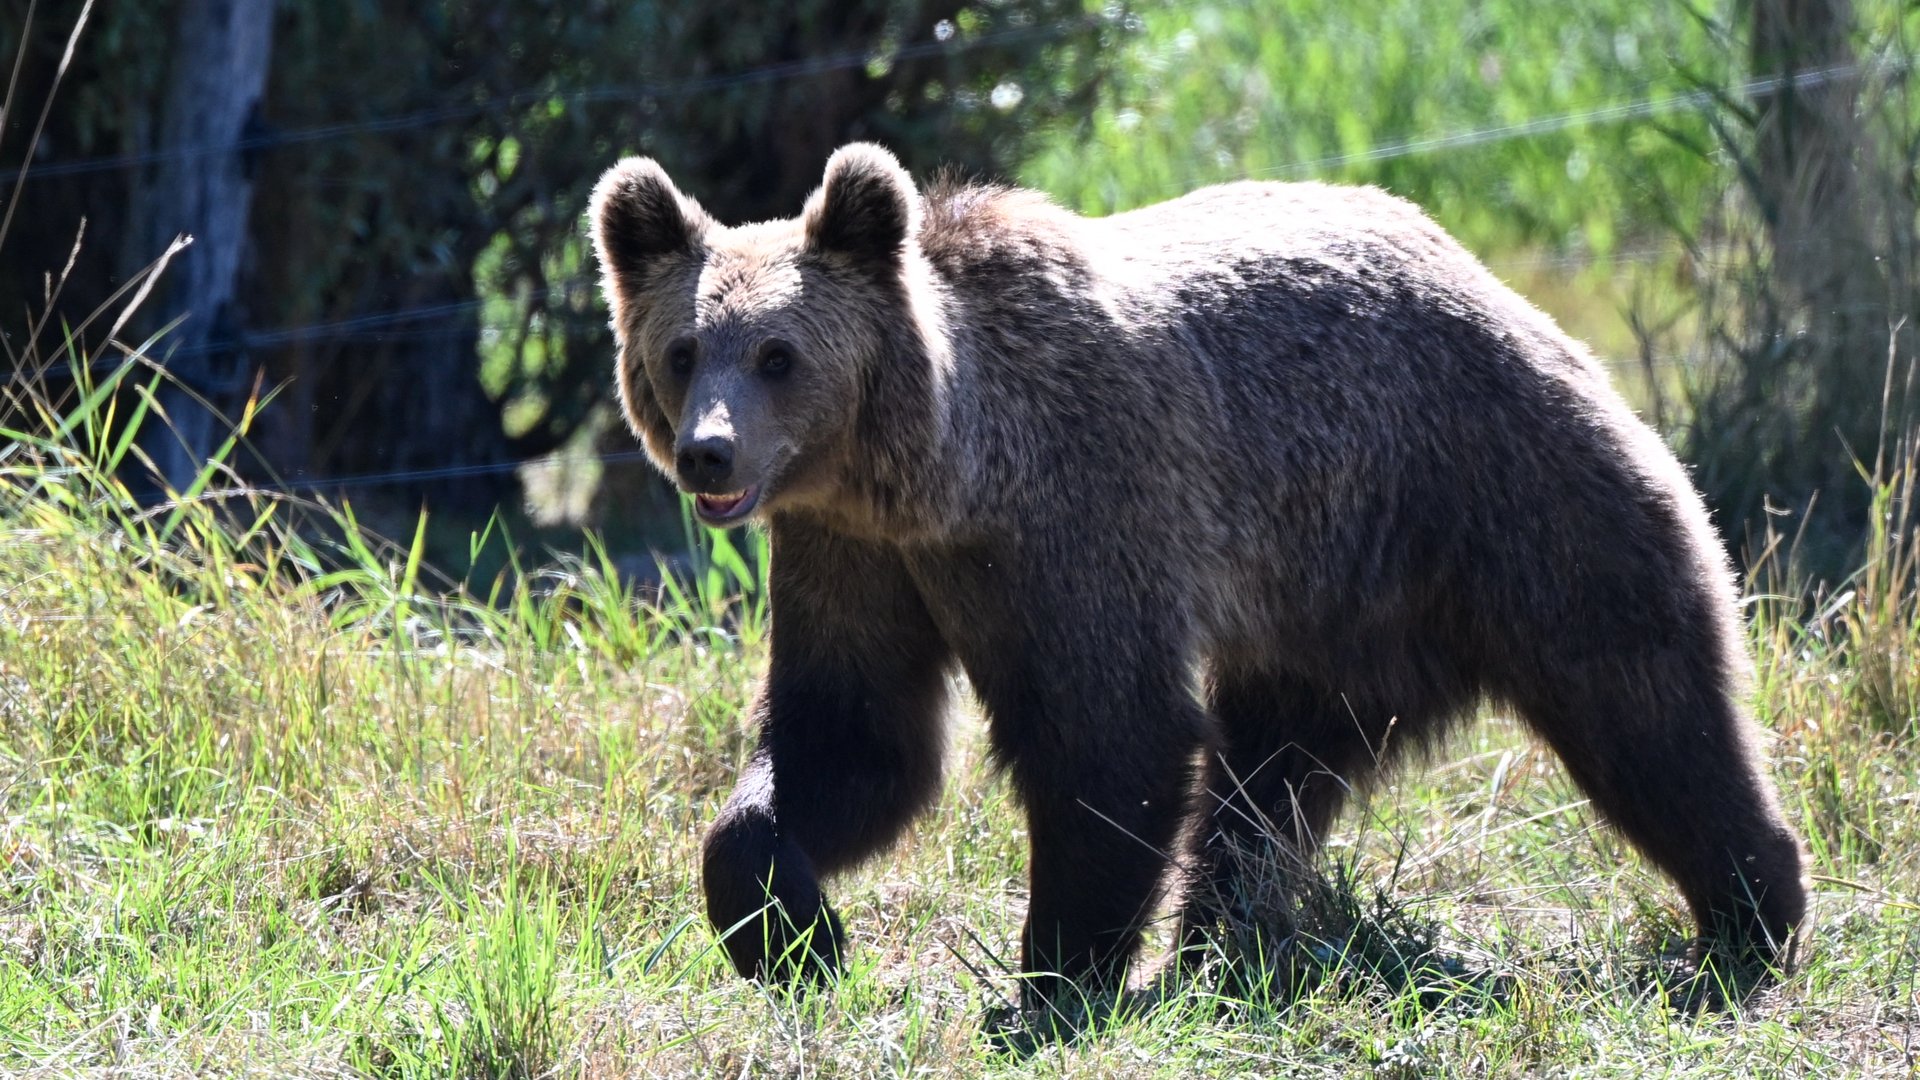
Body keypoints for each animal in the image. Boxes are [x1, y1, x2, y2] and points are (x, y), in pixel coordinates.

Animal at [588, 143, 1808, 1009]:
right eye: (683, 349)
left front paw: (1052, 980)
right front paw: (795, 933)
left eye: (777, 354)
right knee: (1268, 775)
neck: (941, 467)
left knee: (1643, 701)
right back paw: (1224, 937)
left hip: (1499, 496)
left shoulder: (1076, 522)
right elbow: (855, 739)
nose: (709, 455)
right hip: (1328, 606)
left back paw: (1755, 911)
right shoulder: (853, 554)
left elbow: (1110, 732)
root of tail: (1491, 279)